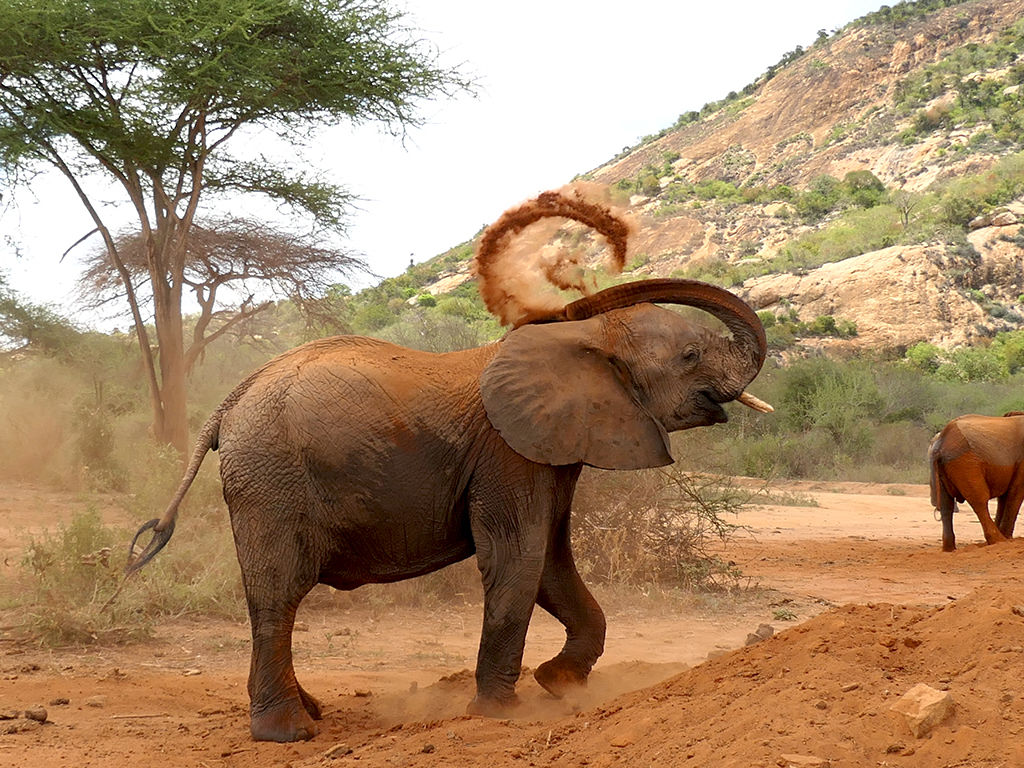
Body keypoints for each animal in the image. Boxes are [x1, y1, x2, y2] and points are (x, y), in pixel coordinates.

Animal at [929, 415, 1024, 552]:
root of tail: (941, 442)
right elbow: (1015, 493)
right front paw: (1008, 538)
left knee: (946, 504)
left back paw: (949, 549)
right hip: (966, 463)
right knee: (979, 500)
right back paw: (999, 541)